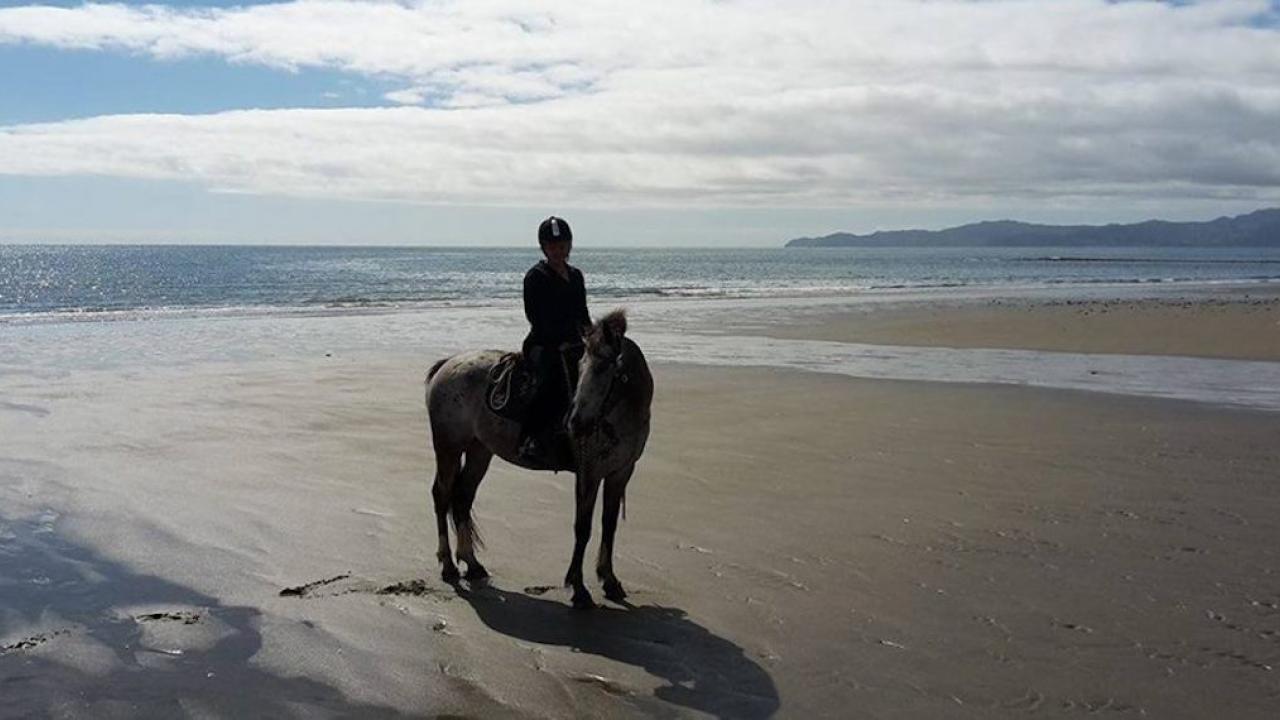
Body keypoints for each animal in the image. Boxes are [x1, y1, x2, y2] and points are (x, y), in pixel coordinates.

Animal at [424, 308, 655, 604]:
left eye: (604, 368)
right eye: (579, 367)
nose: (576, 423)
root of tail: (447, 364)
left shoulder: (621, 472)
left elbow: (609, 525)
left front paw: (610, 580)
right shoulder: (589, 474)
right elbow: (583, 528)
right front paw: (579, 589)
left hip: (479, 450)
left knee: (463, 498)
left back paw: (472, 564)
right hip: (448, 447)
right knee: (442, 496)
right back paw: (448, 566)